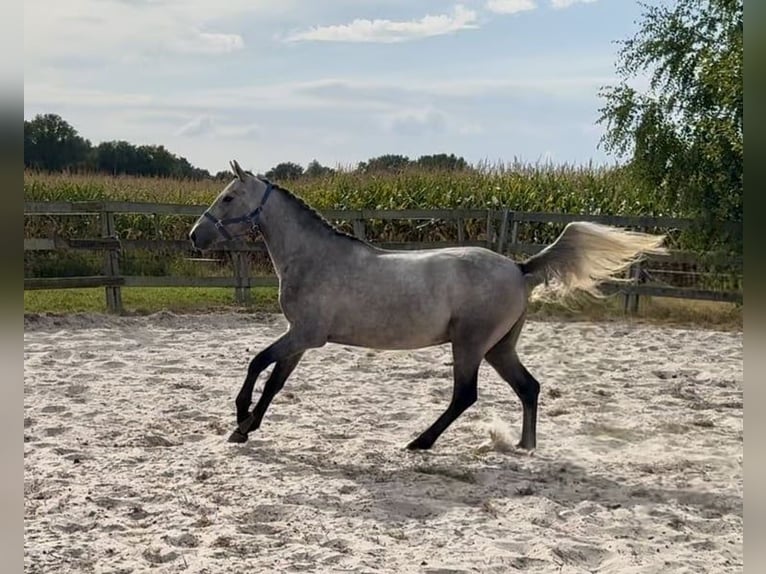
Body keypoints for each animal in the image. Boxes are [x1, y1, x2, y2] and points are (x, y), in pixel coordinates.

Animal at [189, 160, 666, 451]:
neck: (313, 257)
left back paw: (420, 442)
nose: (196, 236)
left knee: (465, 395)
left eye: (228, 197)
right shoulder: (301, 340)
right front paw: (244, 429)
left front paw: (240, 419)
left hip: (470, 345)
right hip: (500, 348)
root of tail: (519, 268)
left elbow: (257, 364)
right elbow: (275, 382)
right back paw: (524, 447)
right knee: (528, 387)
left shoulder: (305, 335)